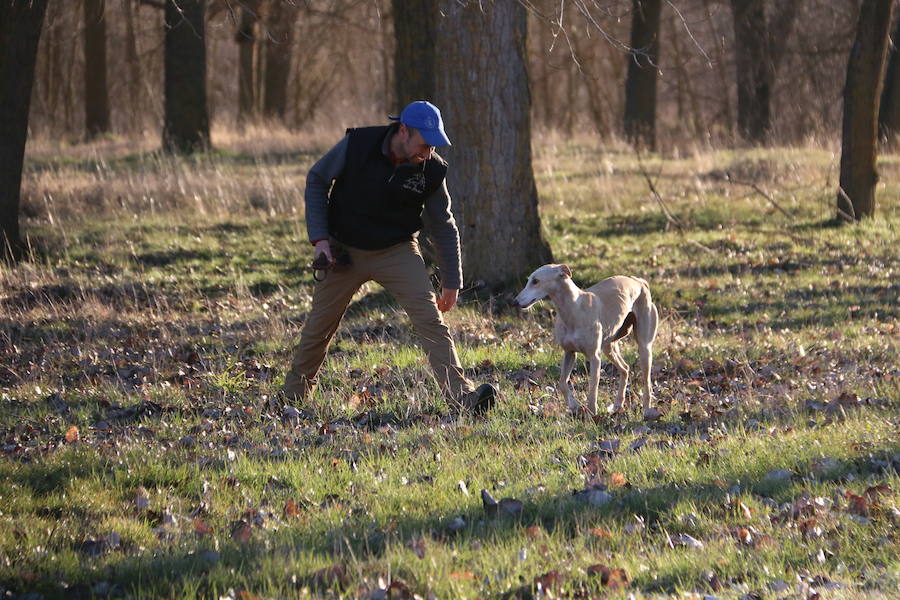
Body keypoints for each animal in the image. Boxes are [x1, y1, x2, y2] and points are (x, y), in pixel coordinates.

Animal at [516, 264, 656, 414]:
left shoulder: (594, 357)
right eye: (529, 280)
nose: (515, 302)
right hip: (609, 346)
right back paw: (618, 404)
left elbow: (592, 389)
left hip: (644, 348)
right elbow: (562, 382)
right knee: (625, 368)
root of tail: (639, 282)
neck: (574, 309)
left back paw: (647, 410)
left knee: (647, 383)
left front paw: (592, 413)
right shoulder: (569, 353)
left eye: (535, 281)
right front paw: (573, 405)